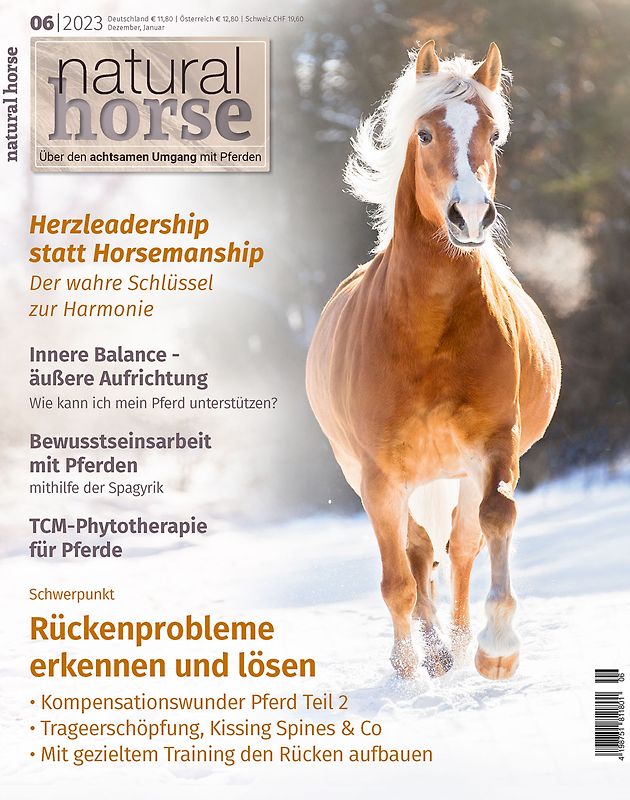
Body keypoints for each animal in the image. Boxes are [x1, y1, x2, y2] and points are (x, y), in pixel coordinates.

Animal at [306, 41, 561, 681]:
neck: (429, 333)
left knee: (461, 545)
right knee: (417, 554)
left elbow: (495, 521)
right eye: (424, 134)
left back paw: (461, 643)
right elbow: (399, 578)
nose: (469, 216)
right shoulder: (377, 477)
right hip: (384, 478)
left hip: (454, 473)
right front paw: (405, 663)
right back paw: (433, 652)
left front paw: (497, 649)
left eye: (494, 136)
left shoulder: (494, 445)